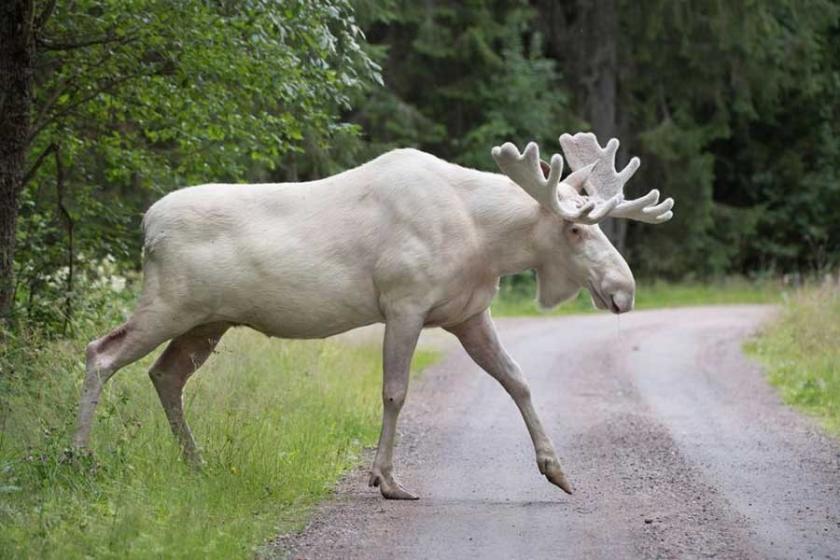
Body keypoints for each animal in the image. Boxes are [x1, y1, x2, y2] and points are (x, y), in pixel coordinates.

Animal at [75, 132, 672, 498]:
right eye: (574, 228)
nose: (624, 290)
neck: (485, 241)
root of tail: (146, 225)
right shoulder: (404, 302)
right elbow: (395, 391)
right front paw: (386, 480)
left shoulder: (468, 313)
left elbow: (518, 380)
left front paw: (557, 470)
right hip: (169, 303)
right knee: (100, 352)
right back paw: (79, 457)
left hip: (208, 321)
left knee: (165, 374)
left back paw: (195, 463)